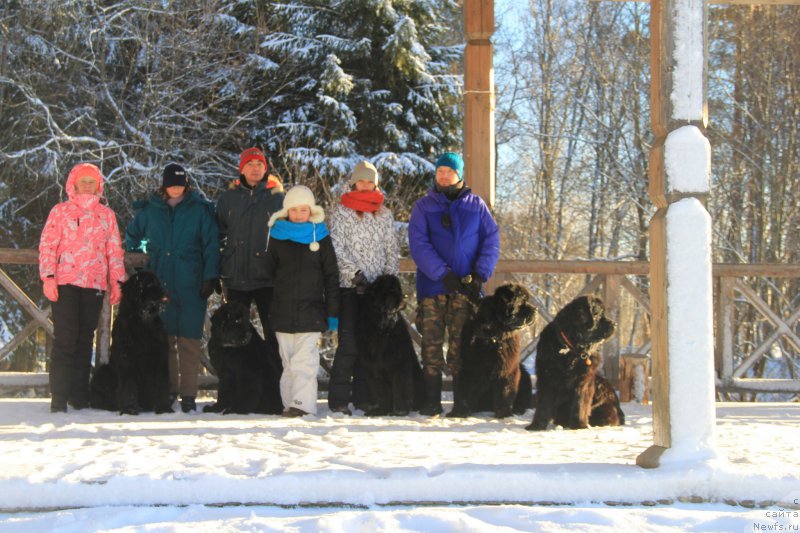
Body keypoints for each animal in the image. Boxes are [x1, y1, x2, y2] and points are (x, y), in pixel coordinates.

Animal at [89, 272, 172, 414]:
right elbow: (129, 384)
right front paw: (130, 408)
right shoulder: (126, 357)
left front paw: (164, 408)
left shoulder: (160, 355)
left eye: (158, 283)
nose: (165, 291)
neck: (142, 322)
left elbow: (161, 382)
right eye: (150, 284)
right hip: (103, 372)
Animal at [356, 274, 424, 416]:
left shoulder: (399, 362)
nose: (405, 298)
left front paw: (400, 411)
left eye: (399, 289)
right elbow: (381, 390)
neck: (381, 327)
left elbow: (400, 386)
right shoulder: (372, 366)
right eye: (392, 291)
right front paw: (381, 410)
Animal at [450, 284, 536, 418]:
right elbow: (465, 391)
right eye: (522, 301)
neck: (495, 335)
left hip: (524, 375)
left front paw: (503, 413)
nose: (536, 310)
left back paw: (518, 410)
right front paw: (460, 412)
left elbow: (505, 391)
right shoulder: (470, 368)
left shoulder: (507, 368)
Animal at [528, 294, 628, 430]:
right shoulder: (546, 378)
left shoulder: (583, 382)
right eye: (598, 315)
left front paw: (579, 425)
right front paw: (537, 426)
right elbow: (543, 404)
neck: (570, 350)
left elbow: (580, 404)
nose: (615, 324)